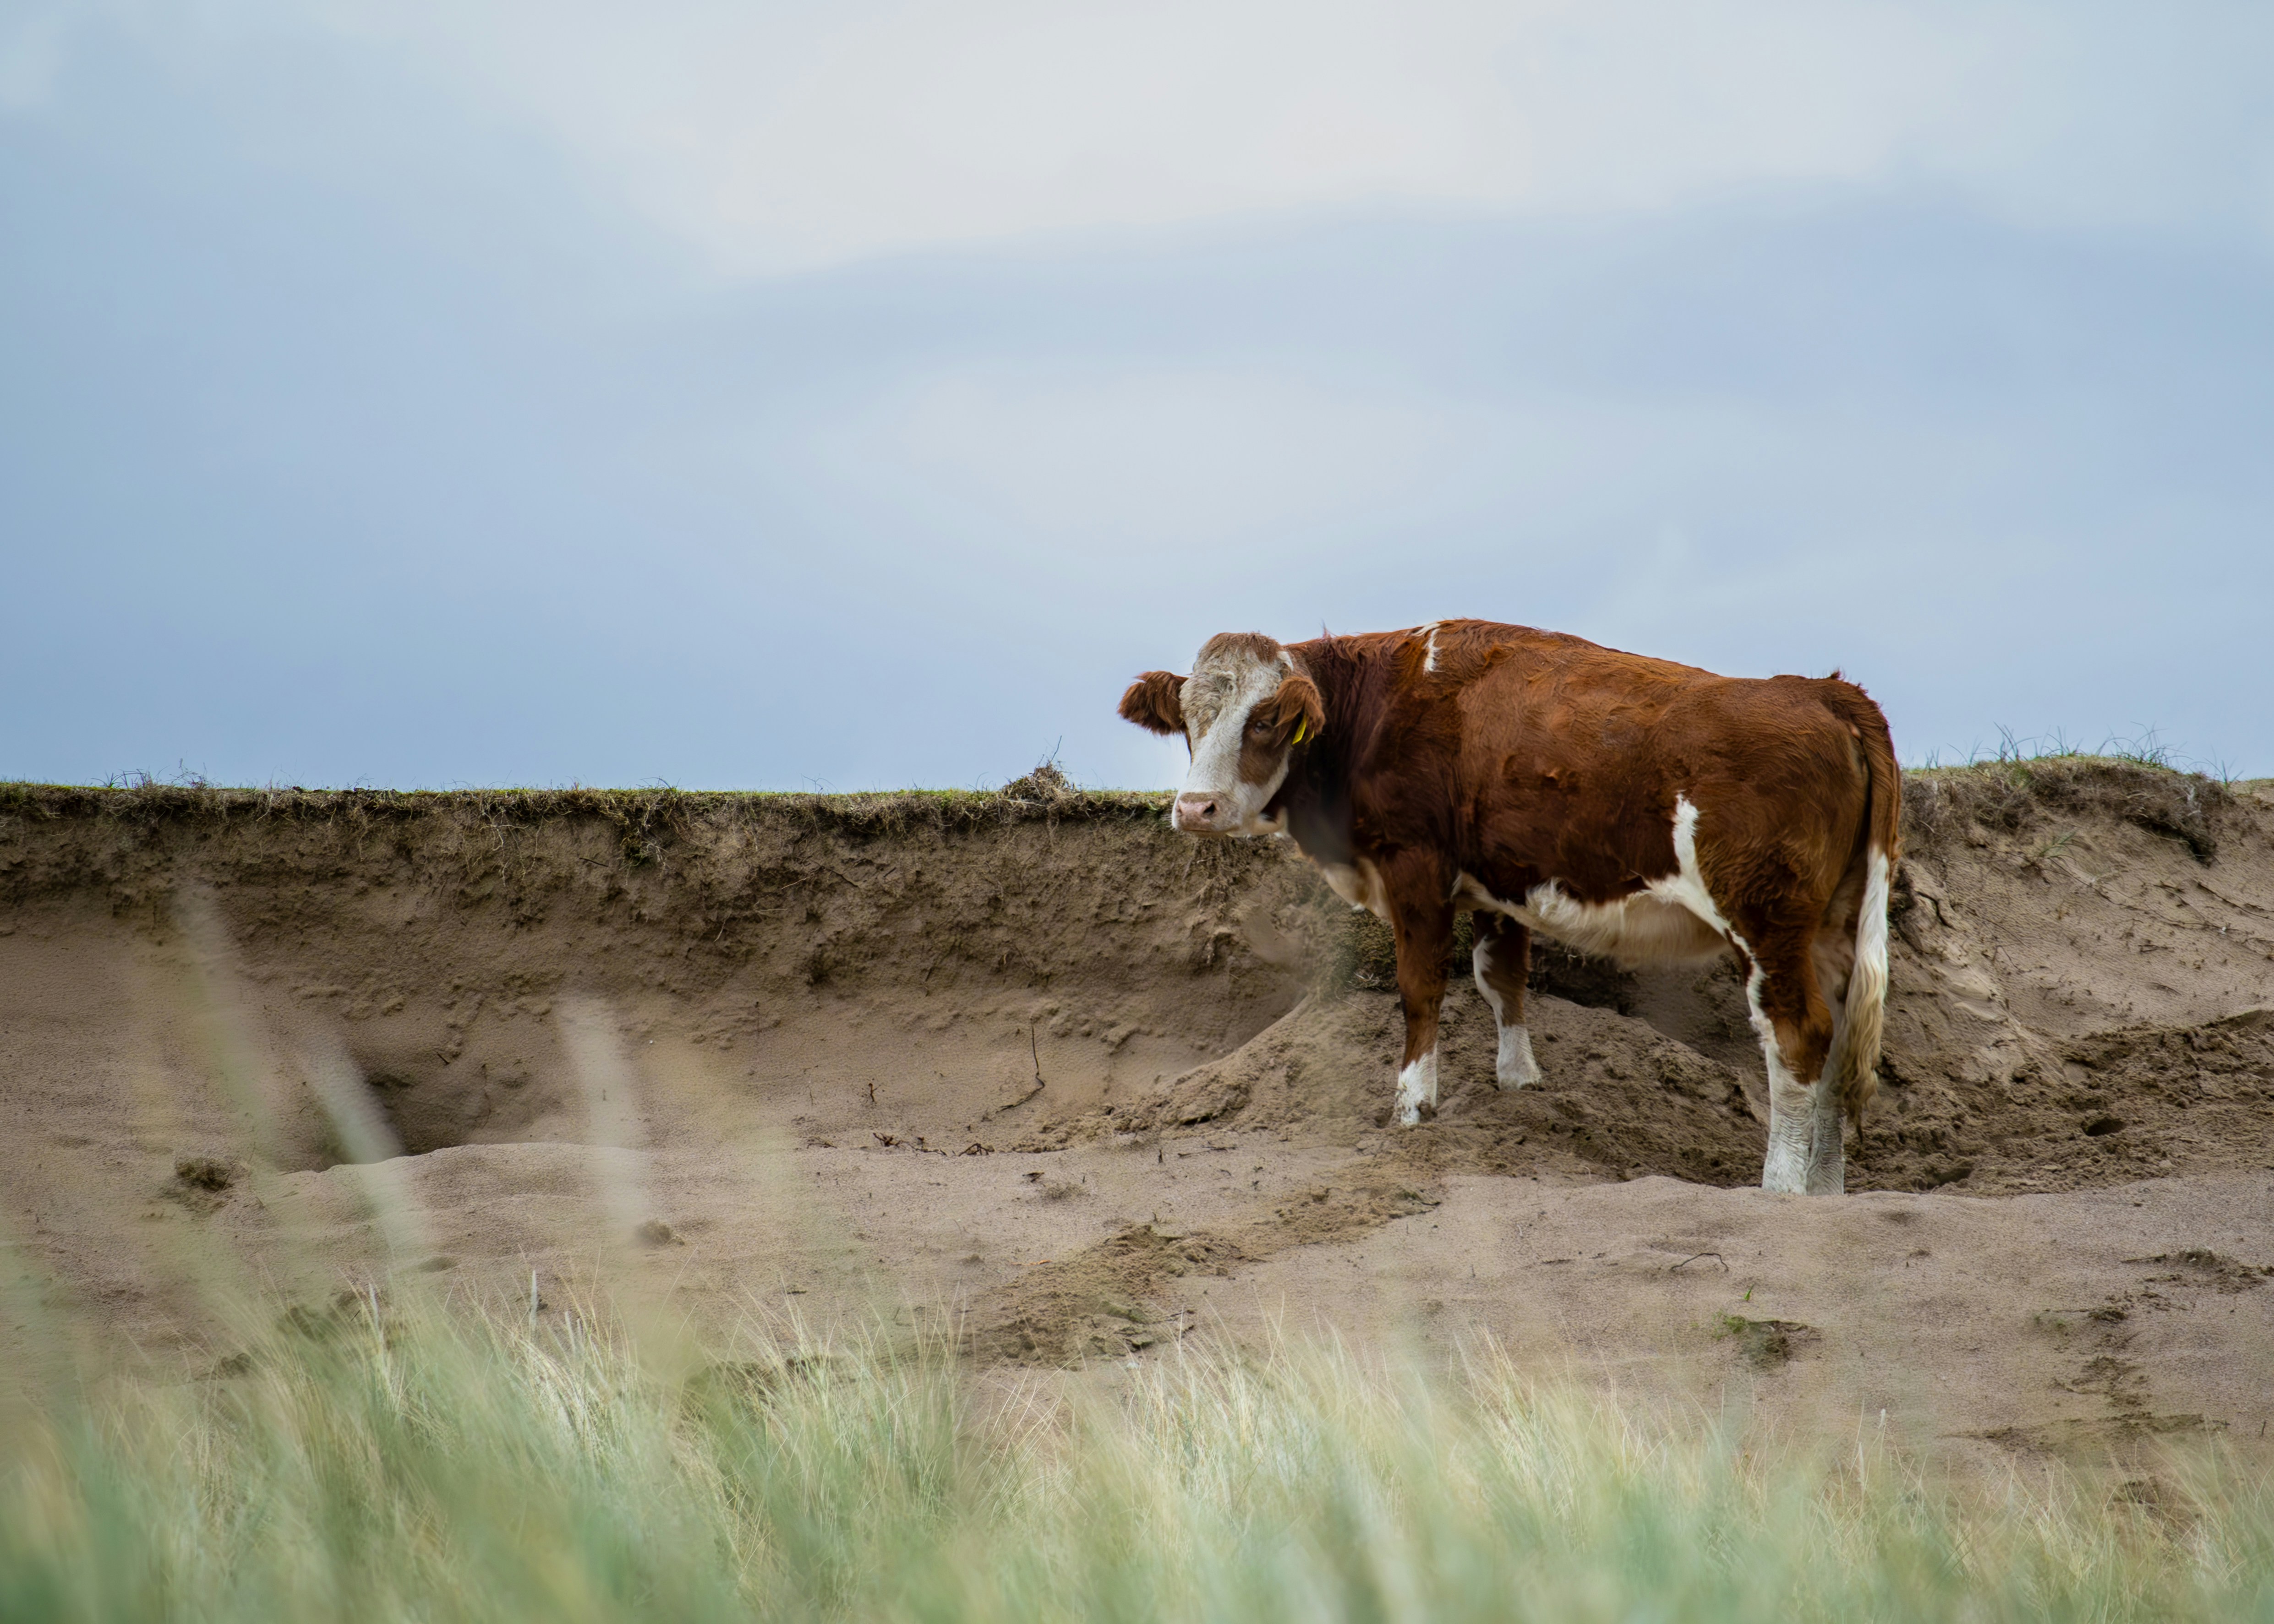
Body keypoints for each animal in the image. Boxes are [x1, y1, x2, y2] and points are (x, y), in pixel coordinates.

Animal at [1117, 621, 1899, 1195]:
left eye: (1266, 721)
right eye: (1189, 720)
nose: (1195, 808)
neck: (1374, 713)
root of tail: (1823, 692)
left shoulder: (1415, 866)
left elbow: (1421, 989)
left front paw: (1413, 1103)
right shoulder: (1499, 882)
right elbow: (1502, 978)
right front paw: (1519, 1081)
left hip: (1765, 920)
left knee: (1797, 1037)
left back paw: (1782, 1187)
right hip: (1832, 925)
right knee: (1838, 1040)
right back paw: (1826, 1184)